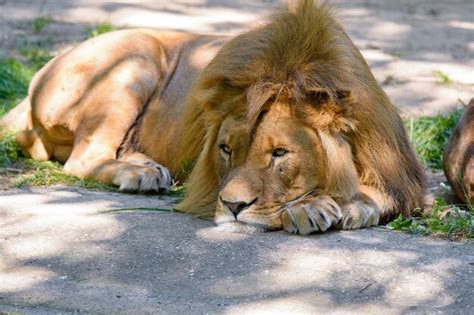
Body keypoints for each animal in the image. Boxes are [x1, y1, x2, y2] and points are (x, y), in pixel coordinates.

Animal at [0, 0, 426, 235]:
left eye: (279, 154)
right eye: (225, 150)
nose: (234, 208)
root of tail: (41, 71)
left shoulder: (399, 175)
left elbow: (374, 195)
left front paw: (335, 204)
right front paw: (312, 206)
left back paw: (147, 166)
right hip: (136, 54)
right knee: (81, 159)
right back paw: (140, 174)